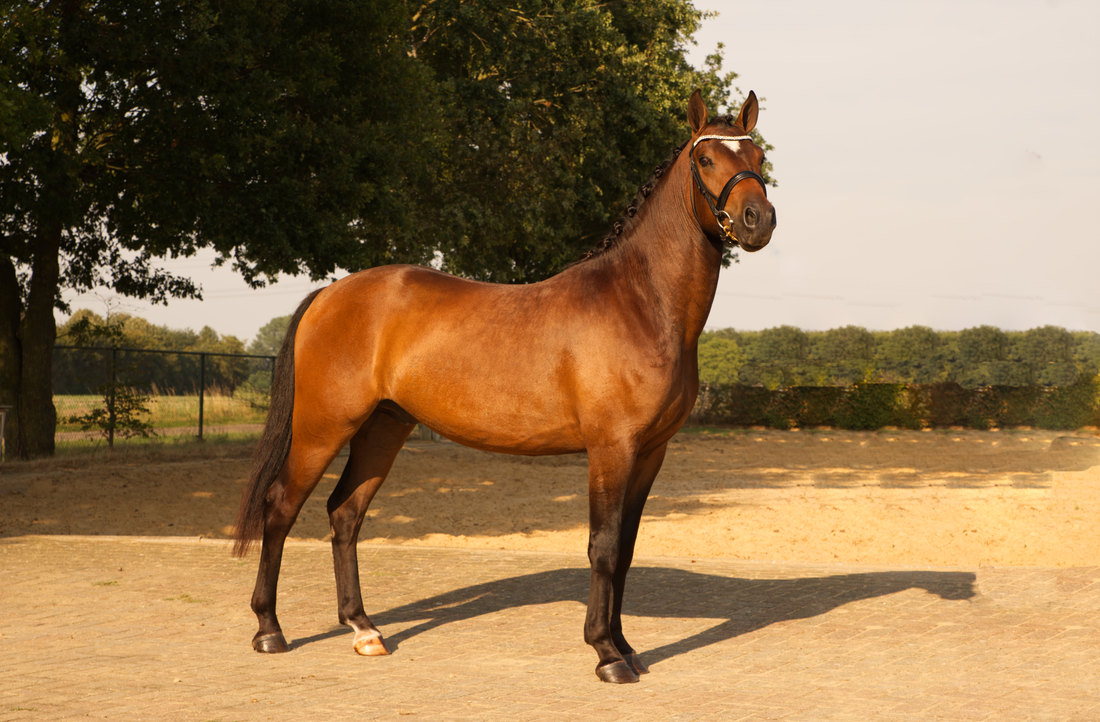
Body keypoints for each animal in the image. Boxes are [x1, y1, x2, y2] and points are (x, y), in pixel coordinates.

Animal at [235, 88, 778, 682]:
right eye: (706, 159)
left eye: (758, 156)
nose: (757, 219)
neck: (641, 302)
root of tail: (329, 294)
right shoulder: (611, 448)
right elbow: (604, 547)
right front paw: (606, 654)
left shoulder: (651, 451)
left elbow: (627, 550)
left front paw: (626, 645)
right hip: (322, 428)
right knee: (281, 507)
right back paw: (268, 630)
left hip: (384, 428)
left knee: (345, 513)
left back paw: (364, 630)